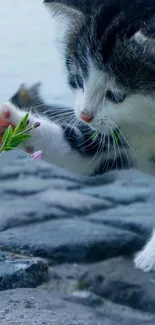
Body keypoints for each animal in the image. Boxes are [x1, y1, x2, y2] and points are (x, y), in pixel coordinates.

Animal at [1, 0, 155, 272]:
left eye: (116, 96)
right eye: (78, 81)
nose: (84, 116)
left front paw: (151, 254)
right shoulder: (115, 135)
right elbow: (78, 152)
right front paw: (11, 120)